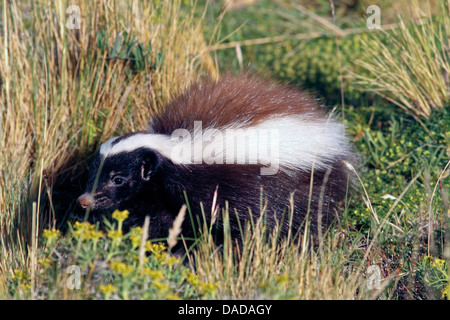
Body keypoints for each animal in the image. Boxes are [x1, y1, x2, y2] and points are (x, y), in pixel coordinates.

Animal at [77, 72, 356, 248]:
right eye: (91, 173)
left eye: (118, 179)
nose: (84, 200)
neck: (176, 154)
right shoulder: (162, 197)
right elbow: (162, 221)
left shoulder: (229, 188)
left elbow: (244, 224)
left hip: (310, 184)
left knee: (308, 213)